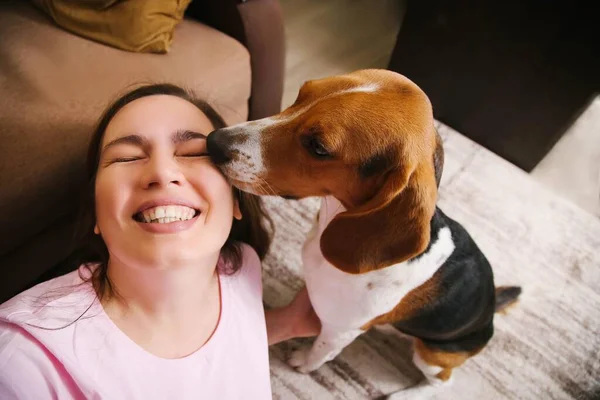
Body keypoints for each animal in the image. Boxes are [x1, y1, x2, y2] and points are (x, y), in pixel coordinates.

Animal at [206, 69, 520, 388]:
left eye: (318, 147)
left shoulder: (339, 332)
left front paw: (302, 362)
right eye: (301, 95)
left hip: (431, 355)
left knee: (441, 382)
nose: (213, 141)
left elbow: (320, 351)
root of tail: (491, 311)